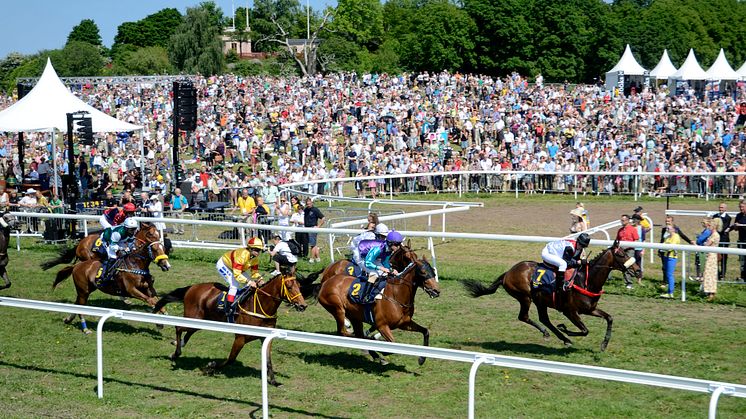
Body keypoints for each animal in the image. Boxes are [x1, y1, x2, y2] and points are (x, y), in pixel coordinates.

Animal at [151, 272, 306, 388]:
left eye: (299, 286)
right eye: (289, 286)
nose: (303, 306)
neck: (260, 306)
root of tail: (192, 287)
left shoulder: (266, 337)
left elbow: (268, 360)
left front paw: (274, 381)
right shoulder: (240, 338)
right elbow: (231, 359)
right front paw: (210, 367)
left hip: (201, 321)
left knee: (187, 332)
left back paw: (178, 347)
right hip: (192, 318)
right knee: (178, 327)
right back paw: (176, 353)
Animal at [310, 248, 438, 366]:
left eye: (432, 271)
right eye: (423, 272)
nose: (436, 290)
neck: (396, 295)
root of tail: (324, 283)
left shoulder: (404, 323)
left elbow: (426, 331)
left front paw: (421, 359)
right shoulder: (382, 325)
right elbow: (391, 345)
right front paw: (379, 345)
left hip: (355, 317)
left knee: (359, 335)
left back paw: (375, 353)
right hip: (338, 309)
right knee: (344, 332)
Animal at [460, 240, 640, 352]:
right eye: (621, 254)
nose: (637, 270)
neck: (586, 280)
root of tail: (508, 273)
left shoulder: (590, 309)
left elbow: (609, 318)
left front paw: (603, 344)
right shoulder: (570, 311)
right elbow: (584, 330)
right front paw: (565, 329)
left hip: (540, 301)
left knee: (543, 319)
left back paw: (559, 337)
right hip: (525, 297)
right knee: (524, 317)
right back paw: (556, 335)